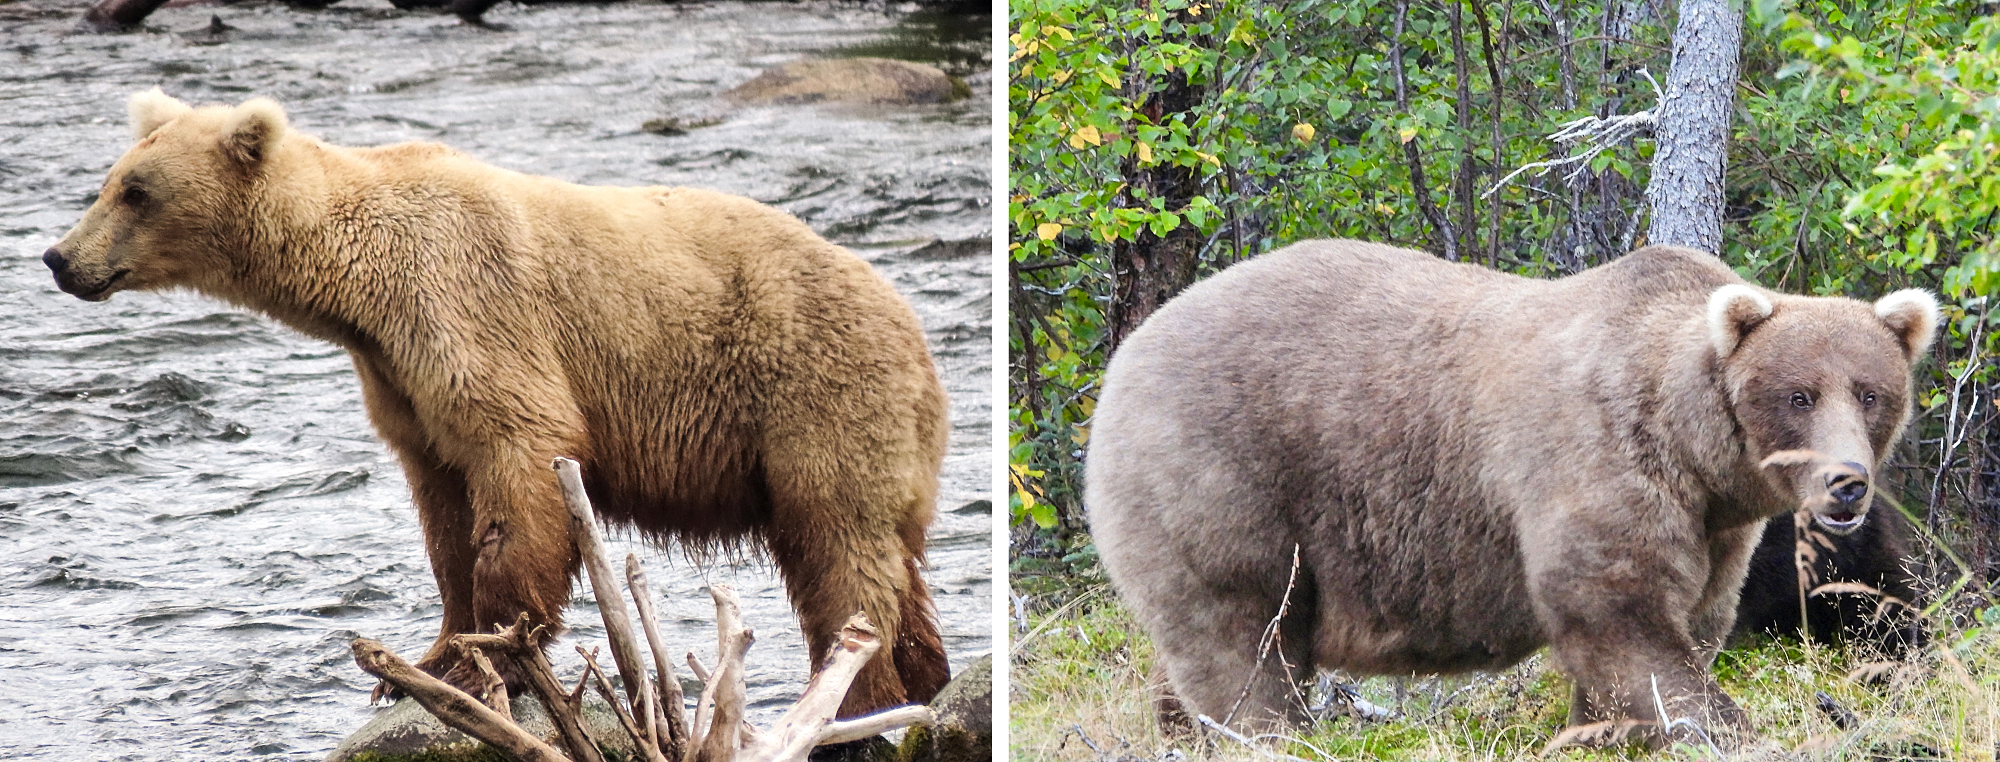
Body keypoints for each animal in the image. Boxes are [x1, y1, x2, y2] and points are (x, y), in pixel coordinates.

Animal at [43, 89, 952, 718]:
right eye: (108, 181)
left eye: (136, 191)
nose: (59, 258)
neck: (356, 289)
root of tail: (915, 333)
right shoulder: (398, 381)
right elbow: (442, 513)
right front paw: (425, 659)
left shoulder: (465, 307)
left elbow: (518, 462)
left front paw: (493, 655)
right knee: (891, 562)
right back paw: (923, 674)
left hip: (815, 397)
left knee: (839, 550)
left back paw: (861, 692)